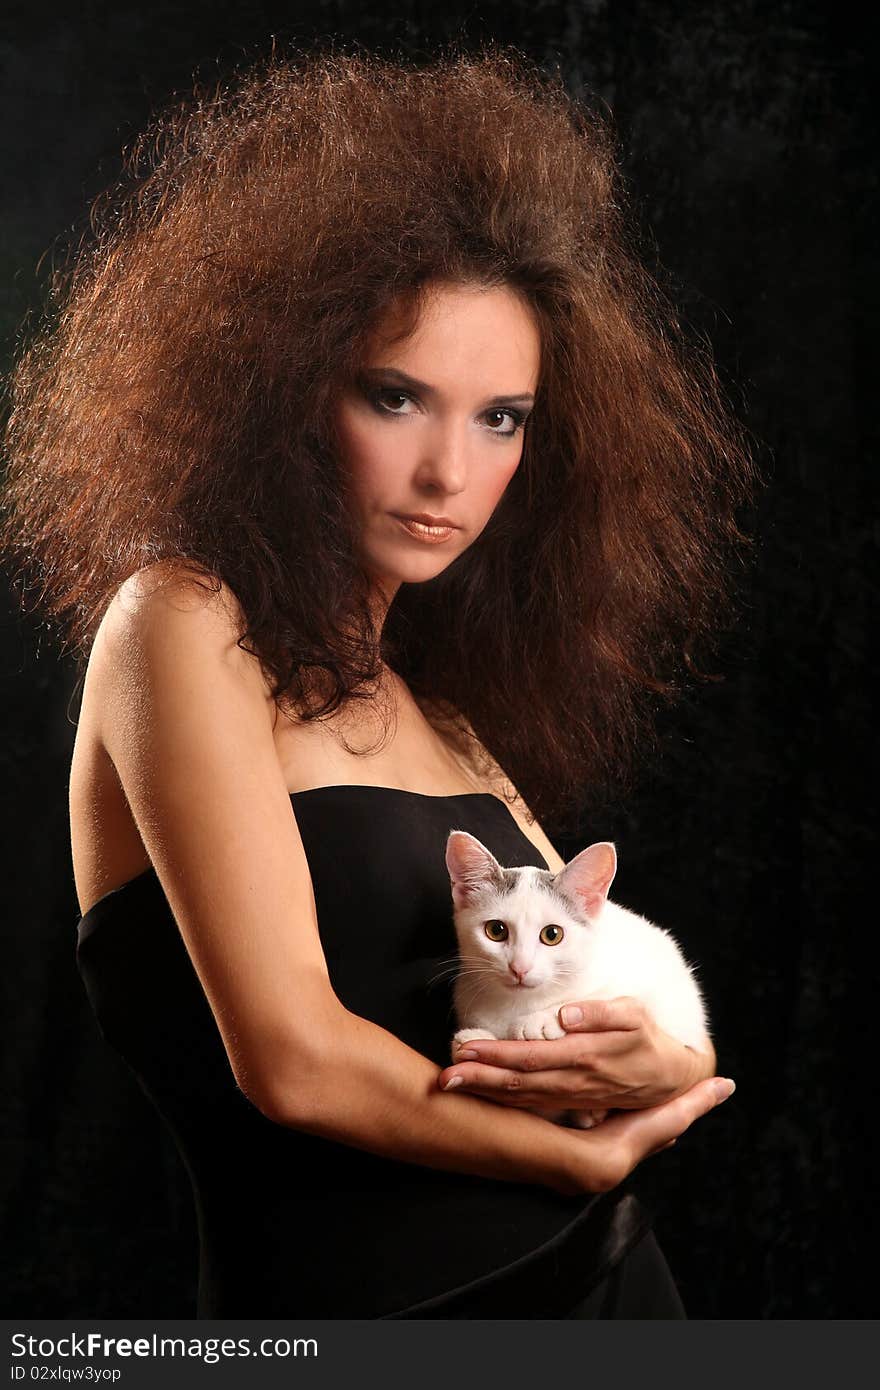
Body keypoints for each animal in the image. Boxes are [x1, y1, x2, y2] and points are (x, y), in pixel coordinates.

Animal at [442, 828, 711, 1123]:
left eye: (552, 934)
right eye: (496, 930)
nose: (520, 967)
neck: (519, 1002)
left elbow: (608, 994)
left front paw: (542, 1019)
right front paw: (477, 1039)